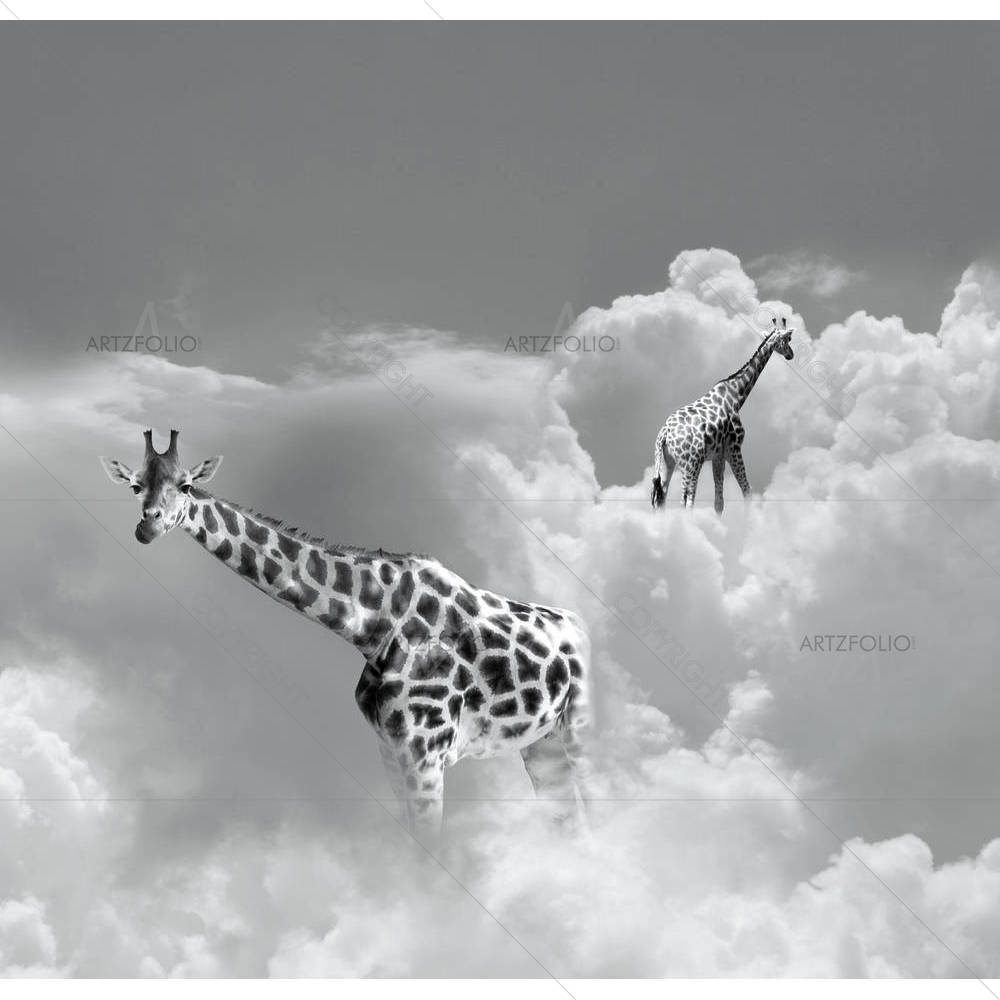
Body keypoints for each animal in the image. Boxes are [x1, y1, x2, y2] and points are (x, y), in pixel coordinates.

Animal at [100, 430, 591, 838]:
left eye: (185, 486)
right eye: (135, 486)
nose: (148, 525)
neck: (375, 625)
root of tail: (576, 622)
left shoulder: (426, 752)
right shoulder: (391, 750)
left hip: (577, 727)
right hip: (539, 741)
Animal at [650, 317, 795, 514]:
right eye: (788, 339)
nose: (791, 354)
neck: (736, 396)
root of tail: (664, 435)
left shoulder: (717, 455)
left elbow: (719, 503)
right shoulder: (734, 448)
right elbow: (747, 492)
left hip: (667, 462)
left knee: (661, 498)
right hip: (691, 463)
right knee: (687, 500)